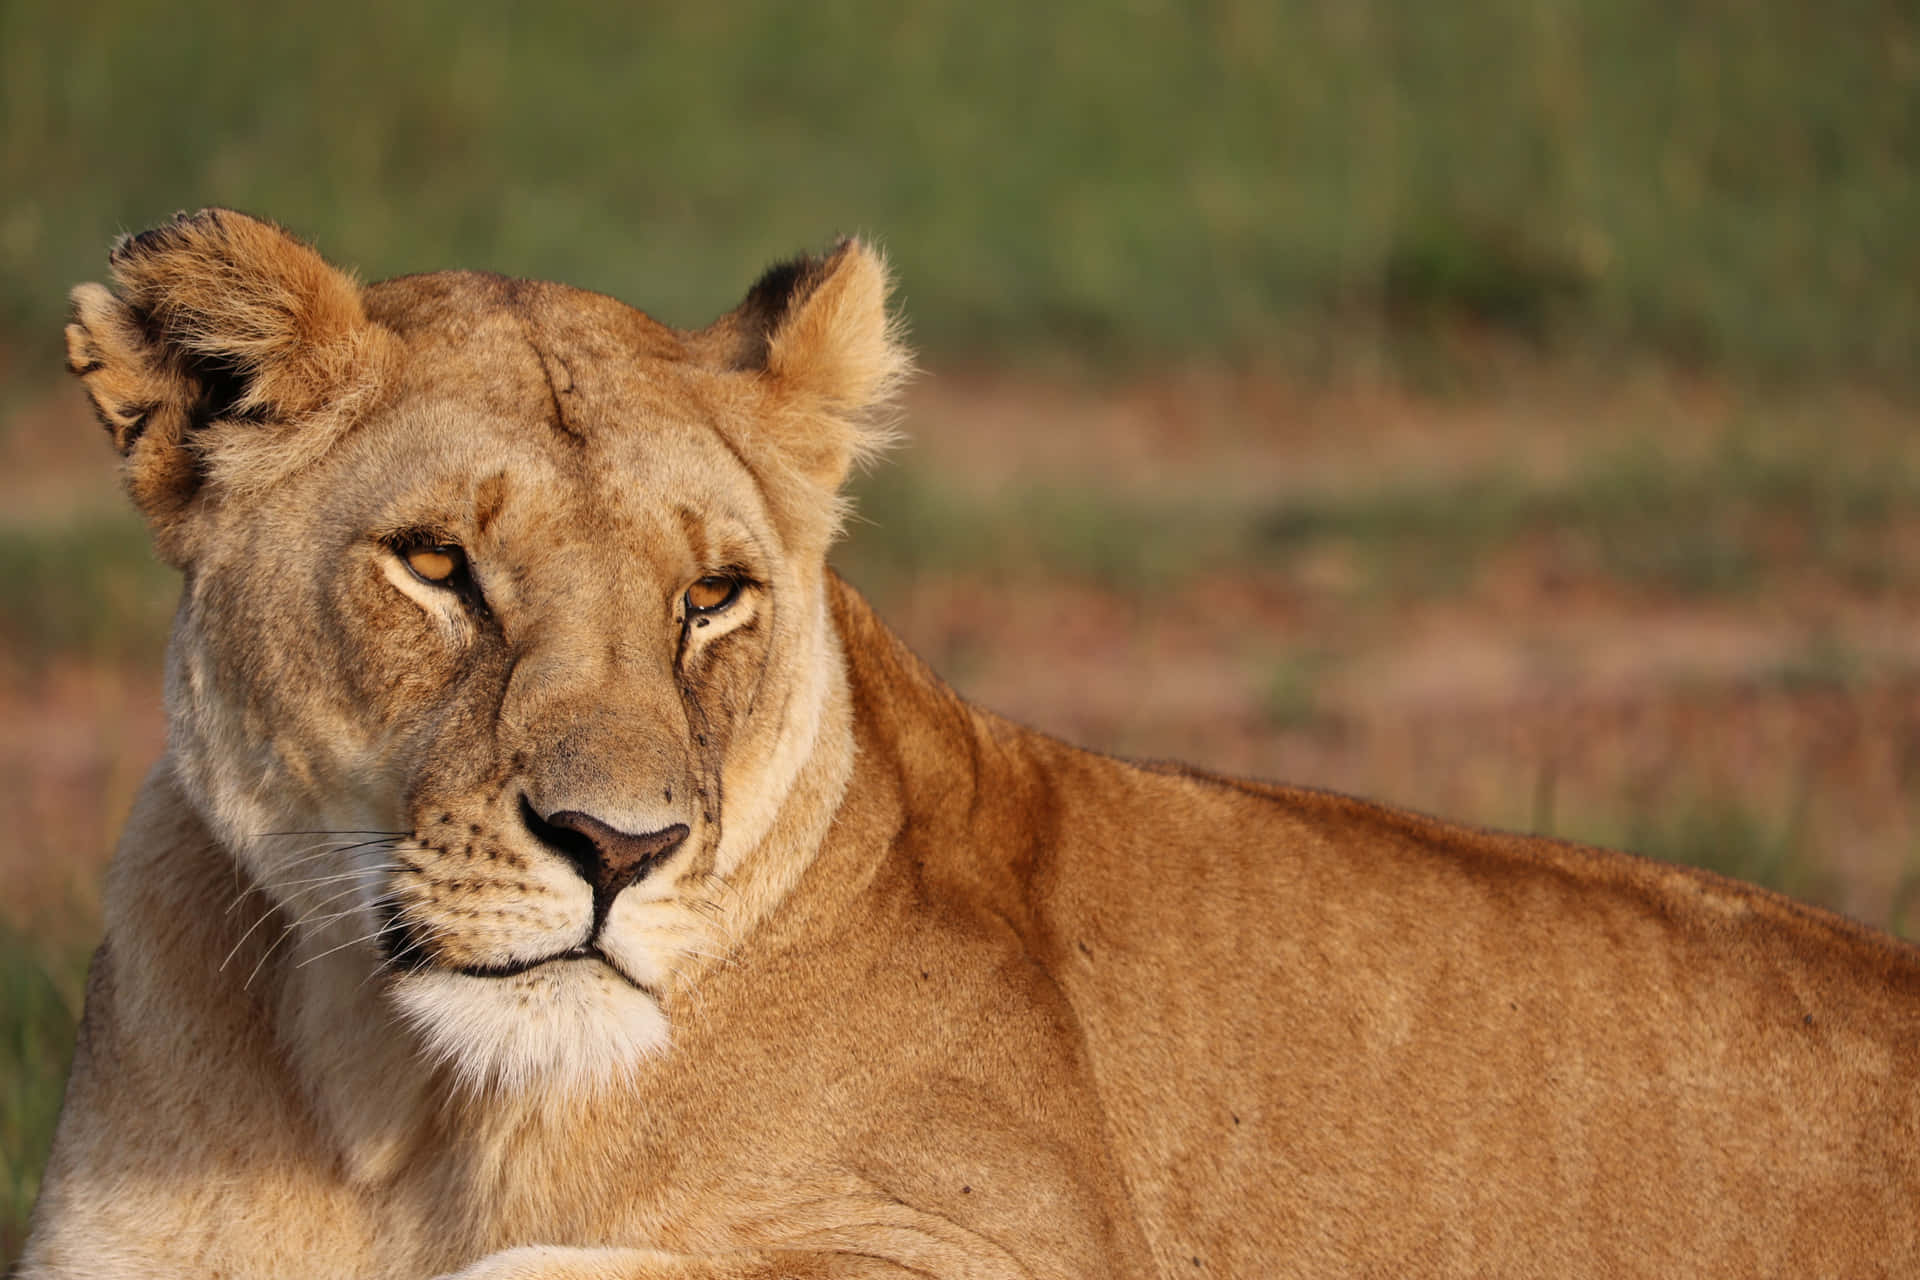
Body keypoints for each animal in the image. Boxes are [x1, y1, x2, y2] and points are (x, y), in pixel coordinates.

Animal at [19, 209, 1920, 1279]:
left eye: (713, 598)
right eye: (435, 567)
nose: (622, 851)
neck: (403, 1111)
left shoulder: (1010, 1242)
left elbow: (569, 1268)